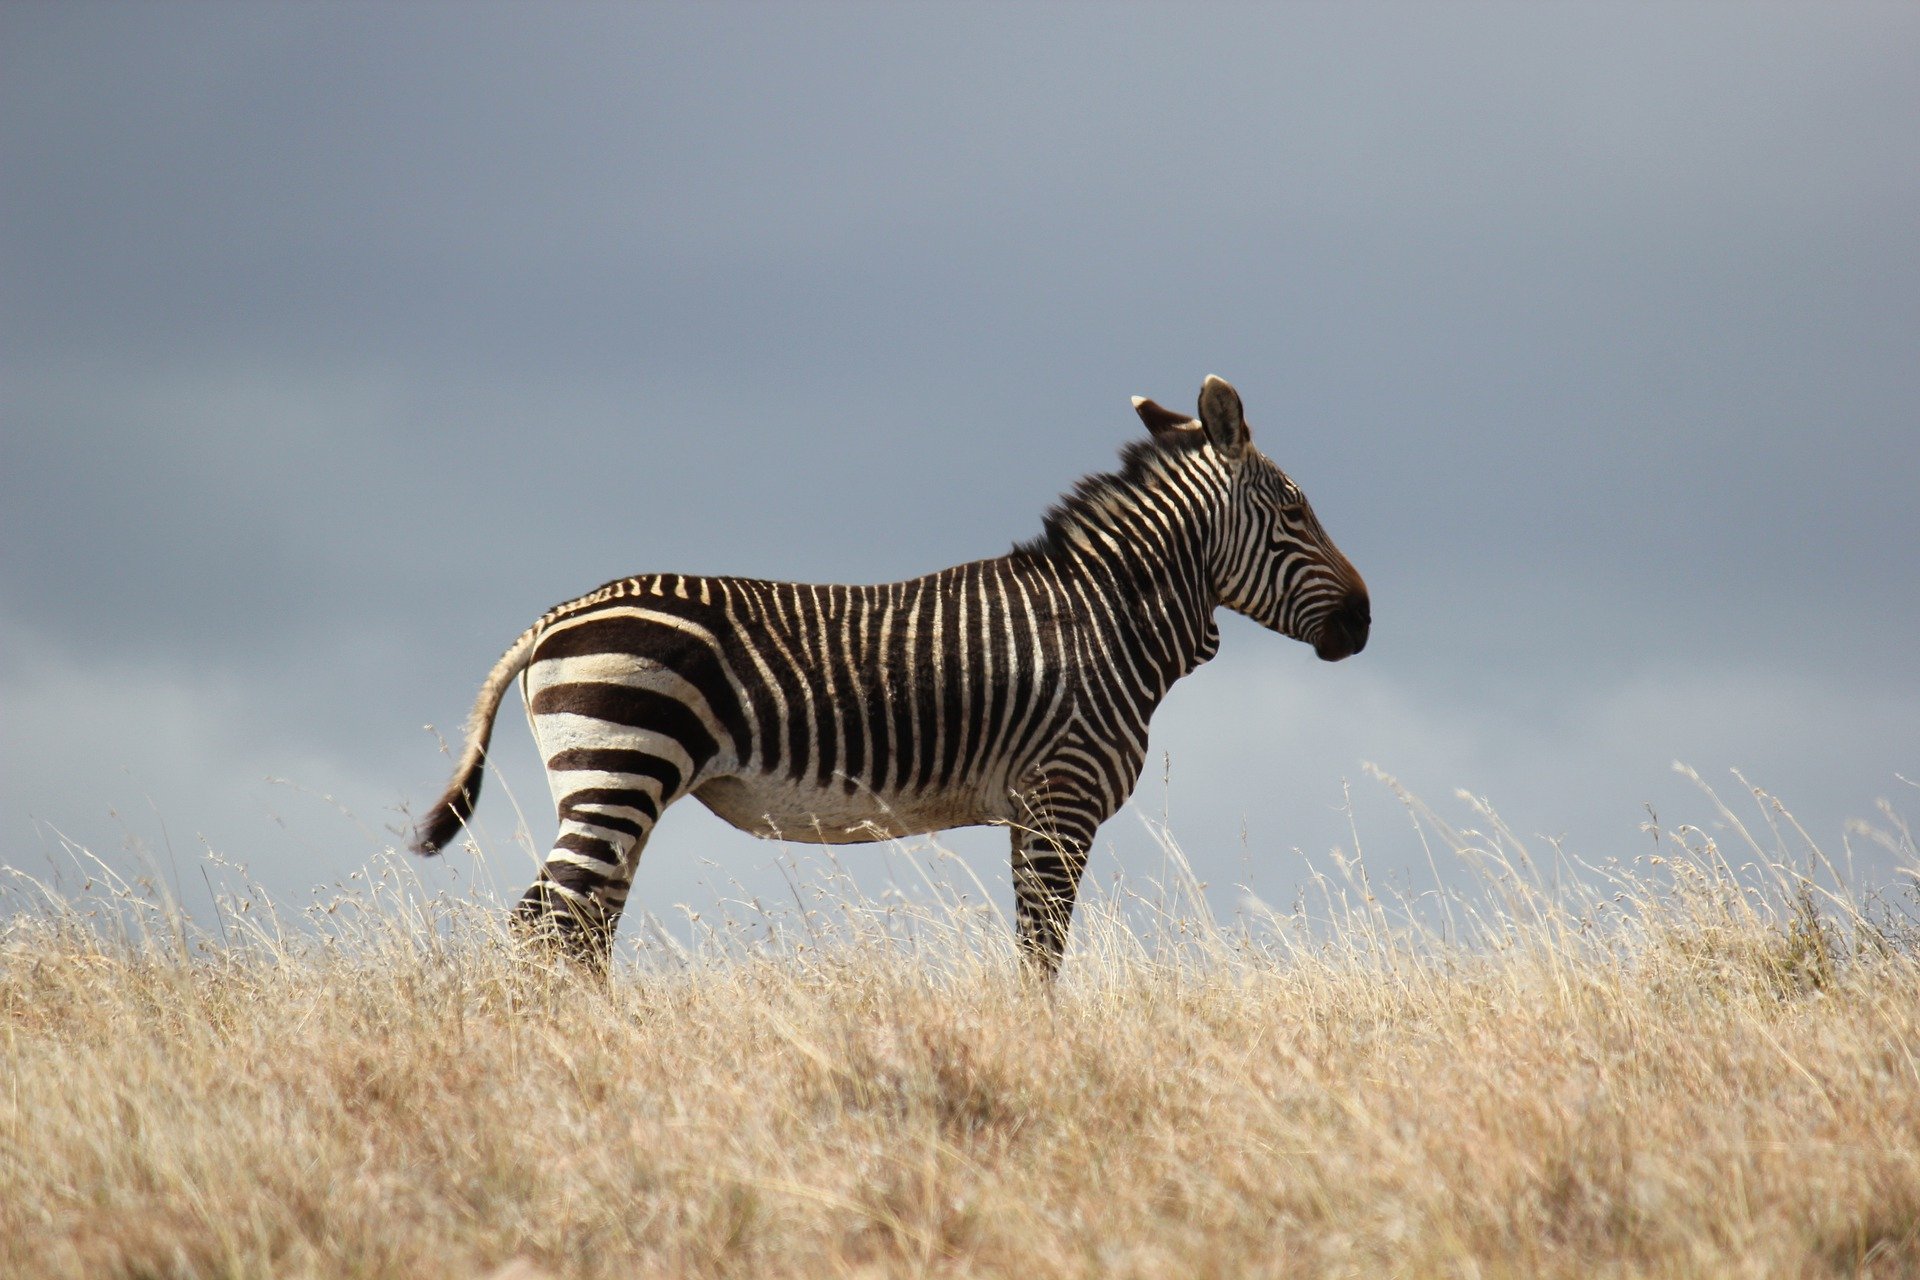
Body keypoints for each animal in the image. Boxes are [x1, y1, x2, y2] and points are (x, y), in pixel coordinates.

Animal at [412, 376, 1374, 974]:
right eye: (1295, 512)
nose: (1365, 622)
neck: (1106, 618)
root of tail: (552, 619)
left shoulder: (1030, 809)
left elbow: (1032, 946)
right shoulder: (1060, 798)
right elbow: (1043, 949)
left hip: (615, 783)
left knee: (581, 926)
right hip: (623, 763)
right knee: (546, 923)